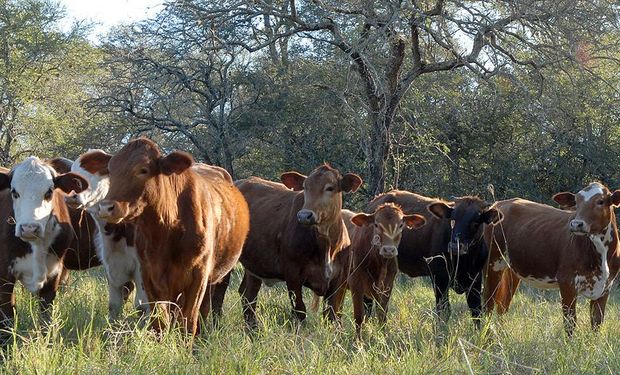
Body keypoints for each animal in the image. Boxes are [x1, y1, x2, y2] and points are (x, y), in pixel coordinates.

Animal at [98, 139, 248, 334]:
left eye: (143, 170)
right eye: (110, 170)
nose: (106, 207)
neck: (165, 232)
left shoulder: (198, 276)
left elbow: (188, 321)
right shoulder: (149, 274)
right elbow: (159, 322)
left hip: (217, 276)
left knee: (205, 310)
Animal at [237, 166, 364, 328]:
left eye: (330, 188)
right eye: (305, 187)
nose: (304, 215)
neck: (326, 247)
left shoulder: (339, 279)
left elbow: (332, 315)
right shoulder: (292, 274)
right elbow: (300, 311)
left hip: (254, 266)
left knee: (248, 295)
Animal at [324, 204, 426, 340]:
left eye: (400, 225)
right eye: (376, 225)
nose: (389, 250)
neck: (379, 263)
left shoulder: (387, 285)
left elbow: (382, 314)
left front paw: (383, 337)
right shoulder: (356, 282)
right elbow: (359, 315)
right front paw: (358, 341)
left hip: (341, 285)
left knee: (337, 310)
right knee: (330, 309)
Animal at [484, 182, 620, 334]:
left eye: (600, 201)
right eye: (576, 202)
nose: (576, 224)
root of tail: (500, 203)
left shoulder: (606, 287)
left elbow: (597, 323)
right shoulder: (567, 282)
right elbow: (570, 323)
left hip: (512, 270)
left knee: (503, 305)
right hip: (492, 263)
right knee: (488, 303)